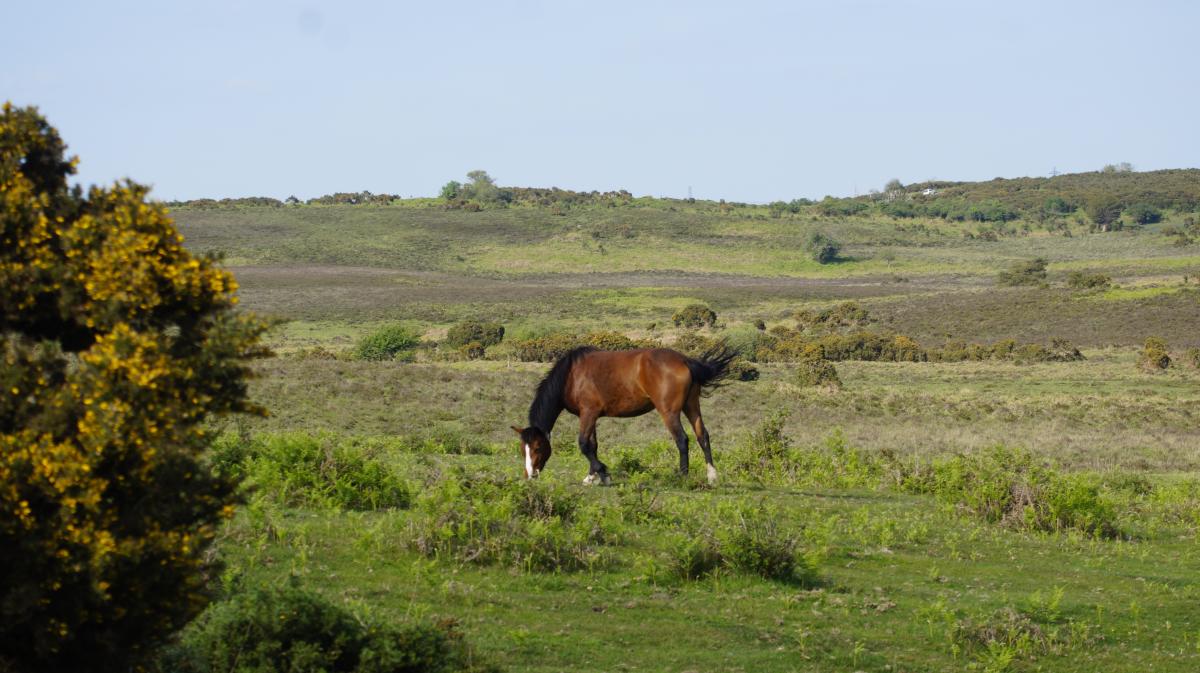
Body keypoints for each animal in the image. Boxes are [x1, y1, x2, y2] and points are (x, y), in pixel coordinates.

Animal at [510, 344, 737, 485]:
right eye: (523, 449)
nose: (529, 475)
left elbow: (583, 444)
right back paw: (712, 476)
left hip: (669, 412)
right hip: (692, 407)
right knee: (702, 436)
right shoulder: (592, 416)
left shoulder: (588, 413)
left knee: (682, 440)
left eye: (538, 447)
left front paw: (603, 473)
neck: (571, 375)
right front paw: (592, 477)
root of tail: (684, 361)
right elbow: (592, 445)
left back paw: (682, 476)